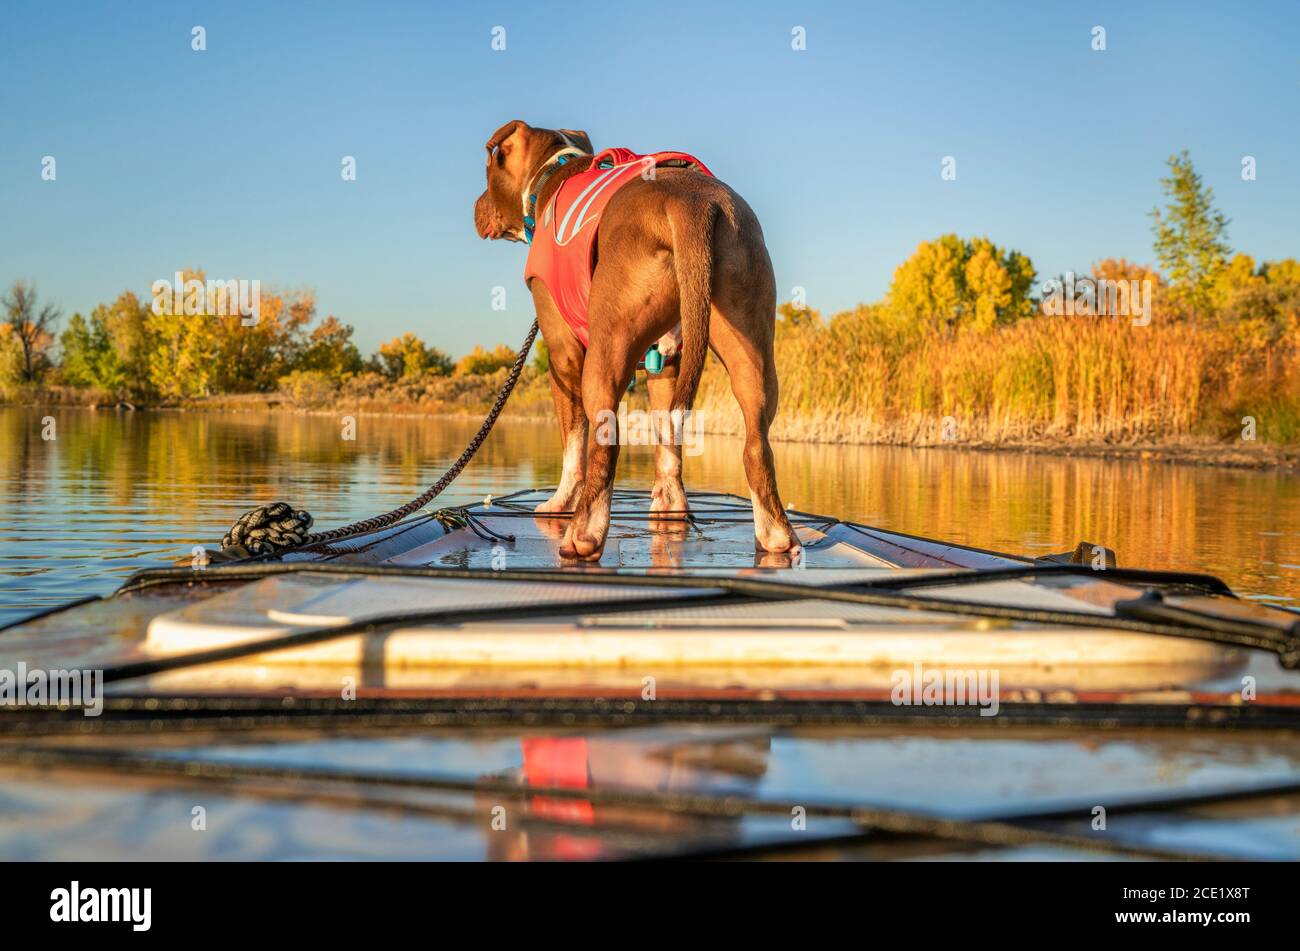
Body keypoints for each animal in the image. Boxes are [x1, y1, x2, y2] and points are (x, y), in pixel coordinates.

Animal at [475, 121, 795, 561]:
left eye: (488, 171)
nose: (476, 207)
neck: (550, 174)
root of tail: (692, 204)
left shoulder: (562, 356)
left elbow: (572, 444)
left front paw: (559, 502)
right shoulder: (667, 361)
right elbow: (667, 441)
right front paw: (670, 503)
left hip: (606, 353)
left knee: (605, 443)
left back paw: (583, 533)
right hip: (751, 339)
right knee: (755, 442)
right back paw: (773, 534)